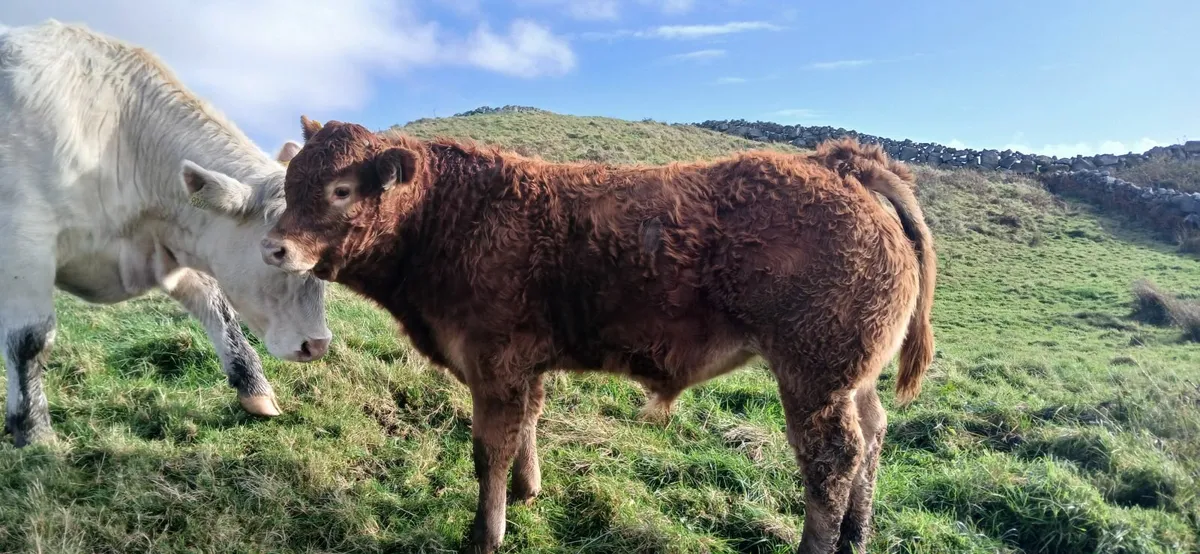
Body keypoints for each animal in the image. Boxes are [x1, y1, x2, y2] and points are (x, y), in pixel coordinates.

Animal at [0, 20, 333, 447]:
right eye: (277, 252)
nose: (318, 344)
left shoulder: (164, 248)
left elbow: (217, 306)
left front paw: (253, 387)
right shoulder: (24, 239)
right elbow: (30, 338)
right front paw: (34, 433)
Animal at [262, 116, 936, 554]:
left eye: (340, 190)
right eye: (290, 181)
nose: (274, 247)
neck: (446, 217)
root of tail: (838, 163)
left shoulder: (493, 365)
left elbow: (489, 450)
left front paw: (485, 534)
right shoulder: (525, 367)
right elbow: (529, 426)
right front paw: (529, 493)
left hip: (813, 377)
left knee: (832, 460)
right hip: (853, 377)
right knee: (872, 436)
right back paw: (856, 536)